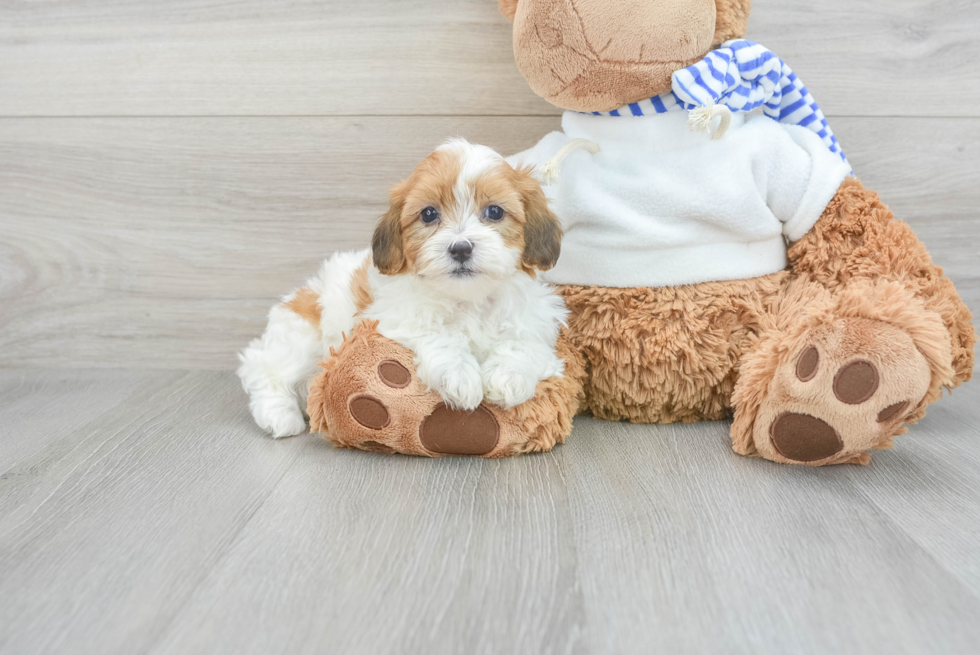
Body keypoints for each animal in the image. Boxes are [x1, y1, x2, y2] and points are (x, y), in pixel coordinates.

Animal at [236, 138, 568, 436]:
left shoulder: (534, 322)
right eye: (429, 214)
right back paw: (279, 415)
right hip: (303, 336)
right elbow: (438, 334)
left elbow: (522, 344)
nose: (461, 248)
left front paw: (507, 377)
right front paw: (460, 375)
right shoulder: (392, 318)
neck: (468, 299)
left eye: (495, 212)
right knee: (261, 365)